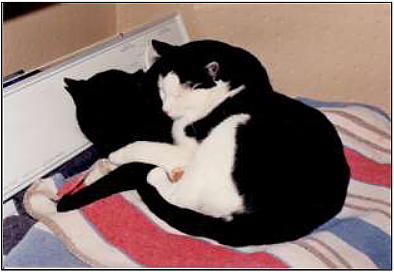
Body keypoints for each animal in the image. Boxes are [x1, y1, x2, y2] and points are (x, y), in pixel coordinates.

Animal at [57, 39, 350, 246]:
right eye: (161, 92)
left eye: (178, 94)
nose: (166, 110)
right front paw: (97, 169)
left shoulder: (186, 149)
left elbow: (148, 149)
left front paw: (118, 156)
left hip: (233, 129)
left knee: (178, 191)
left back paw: (161, 175)